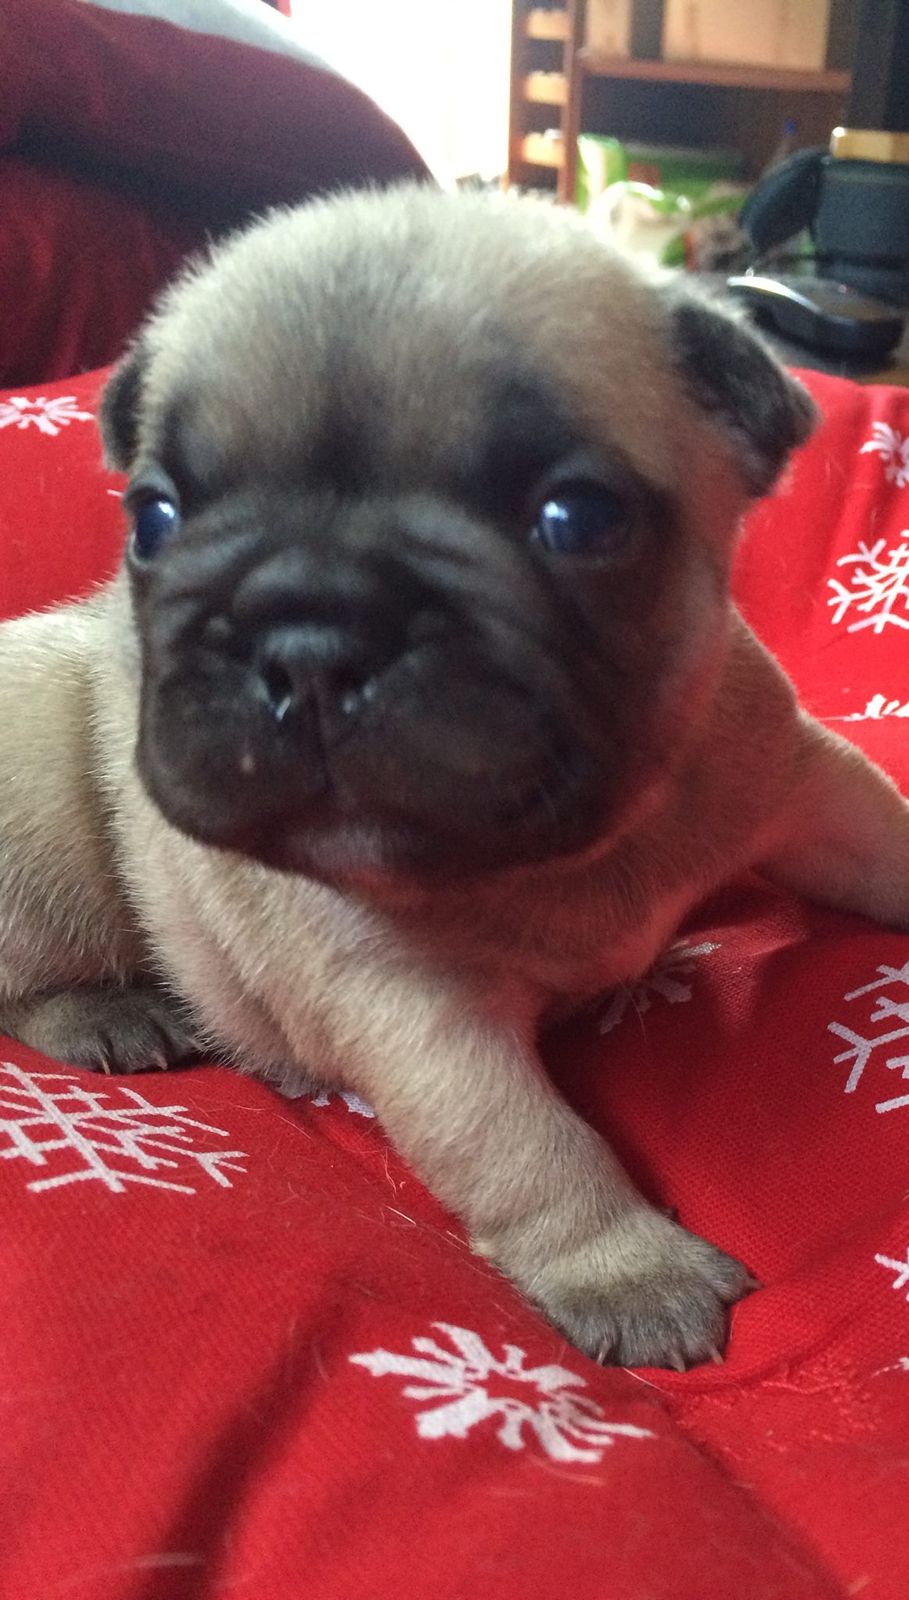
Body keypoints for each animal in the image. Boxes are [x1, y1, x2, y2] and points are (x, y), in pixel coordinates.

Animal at [3, 186, 909, 1368]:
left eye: (577, 518)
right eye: (154, 519)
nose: (311, 634)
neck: (566, 845)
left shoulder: (798, 782)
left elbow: (881, 835)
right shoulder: (419, 1014)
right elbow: (527, 1142)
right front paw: (630, 1267)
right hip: (41, 784)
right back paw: (107, 1014)